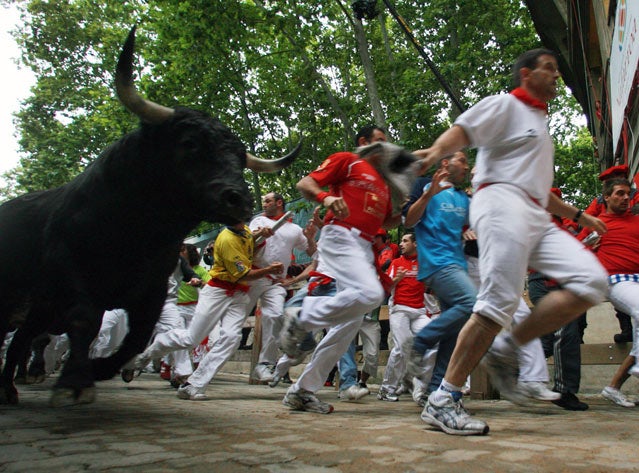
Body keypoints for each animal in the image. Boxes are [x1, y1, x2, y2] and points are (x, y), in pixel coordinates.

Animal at [0, 26, 302, 406]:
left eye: (239, 157)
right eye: (189, 143)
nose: (239, 198)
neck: (137, 232)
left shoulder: (152, 290)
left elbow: (138, 335)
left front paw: (99, 370)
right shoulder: (70, 273)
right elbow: (86, 322)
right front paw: (76, 382)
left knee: (27, 339)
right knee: (29, 340)